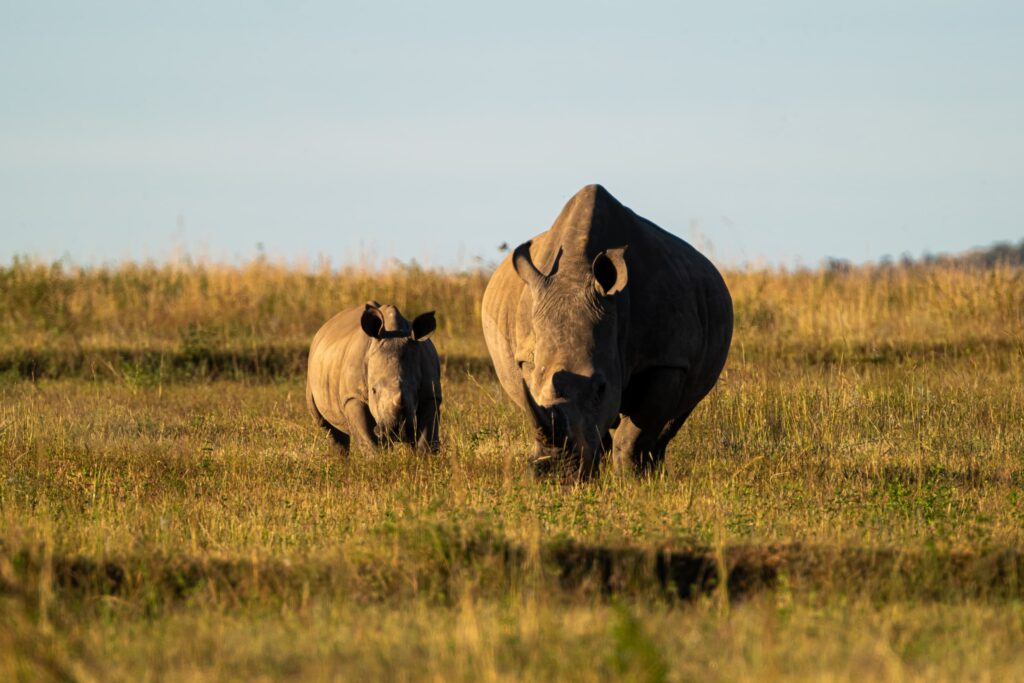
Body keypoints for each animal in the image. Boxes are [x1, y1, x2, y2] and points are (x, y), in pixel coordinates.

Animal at [307, 303, 444, 454]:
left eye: (417, 390)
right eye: (373, 390)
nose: (396, 430)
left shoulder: (431, 394)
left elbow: (427, 438)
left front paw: (424, 458)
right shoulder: (353, 396)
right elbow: (367, 438)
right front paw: (377, 459)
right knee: (326, 426)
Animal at [479, 184, 729, 479]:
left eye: (601, 387)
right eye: (536, 382)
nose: (555, 472)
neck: (575, 273)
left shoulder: (666, 358)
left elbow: (637, 431)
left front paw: (631, 479)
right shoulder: (529, 361)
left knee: (675, 417)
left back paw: (652, 472)